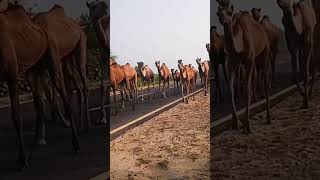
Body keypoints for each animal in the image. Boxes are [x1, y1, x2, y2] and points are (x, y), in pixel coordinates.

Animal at [0, 4, 79, 170]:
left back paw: (75, 144)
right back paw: (37, 144)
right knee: (40, 101)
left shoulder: (11, 74)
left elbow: (16, 116)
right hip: (34, 69)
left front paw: (22, 161)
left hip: (52, 55)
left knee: (63, 95)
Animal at [216, 2, 272, 134]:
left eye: (230, 12)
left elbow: (247, 90)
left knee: (265, 78)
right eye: (218, 13)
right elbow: (231, 90)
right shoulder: (231, 62)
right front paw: (236, 123)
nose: (222, 18)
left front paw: (248, 125)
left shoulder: (249, 60)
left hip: (265, 51)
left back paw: (268, 118)